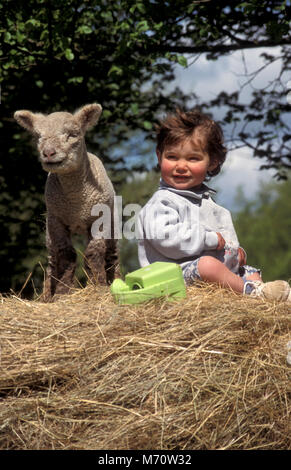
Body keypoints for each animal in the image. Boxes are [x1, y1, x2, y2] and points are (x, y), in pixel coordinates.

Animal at [14, 103, 120, 302]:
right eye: (39, 137)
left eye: (72, 134)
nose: (48, 153)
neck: (75, 201)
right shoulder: (57, 221)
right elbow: (66, 254)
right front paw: (62, 292)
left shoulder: (99, 219)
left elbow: (94, 252)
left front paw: (98, 286)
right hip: (49, 231)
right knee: (52, 260)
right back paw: (47, 294)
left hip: (113, 224)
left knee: (111, 256)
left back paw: (113, 280)